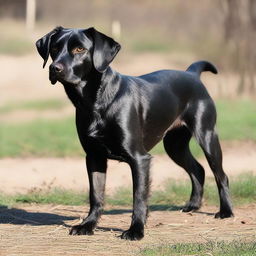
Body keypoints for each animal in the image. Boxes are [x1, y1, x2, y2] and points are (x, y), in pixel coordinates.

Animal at [36, 27, 234, 241]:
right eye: (54, 48)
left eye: (80, 49)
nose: (54, 68)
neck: (96, 102)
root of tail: (192, 74)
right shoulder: (94, 156)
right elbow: (96, 195)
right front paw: (87, 225)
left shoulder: (139, 159)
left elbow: (138, 197)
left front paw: (135, 230)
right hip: (174, 145)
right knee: (198, 169)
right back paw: (192, 205)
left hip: (207, 136)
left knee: (221, 175)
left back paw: (226, 212)